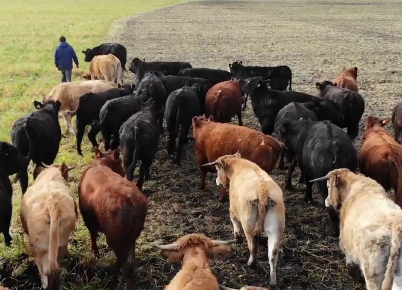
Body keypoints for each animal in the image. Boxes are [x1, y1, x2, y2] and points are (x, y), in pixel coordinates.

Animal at [77, 148, 148, 288]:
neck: (100, 164)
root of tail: (133, 200)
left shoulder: (88, 218)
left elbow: (92, 235)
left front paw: (95, 252)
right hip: (131, 238)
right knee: (131, 264)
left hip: (115, 238)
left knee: (124, 261)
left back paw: (113, 273)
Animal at [204, 152, 286, 288]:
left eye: (217, 168)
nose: (216, 181)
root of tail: (263, 190)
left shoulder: (232, 210)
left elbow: (235, 225)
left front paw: (237, 238)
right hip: (276, 228)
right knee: (273, 254)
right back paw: (273, 281)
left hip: (248, 225)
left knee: (253, 246)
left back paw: (250, 263)